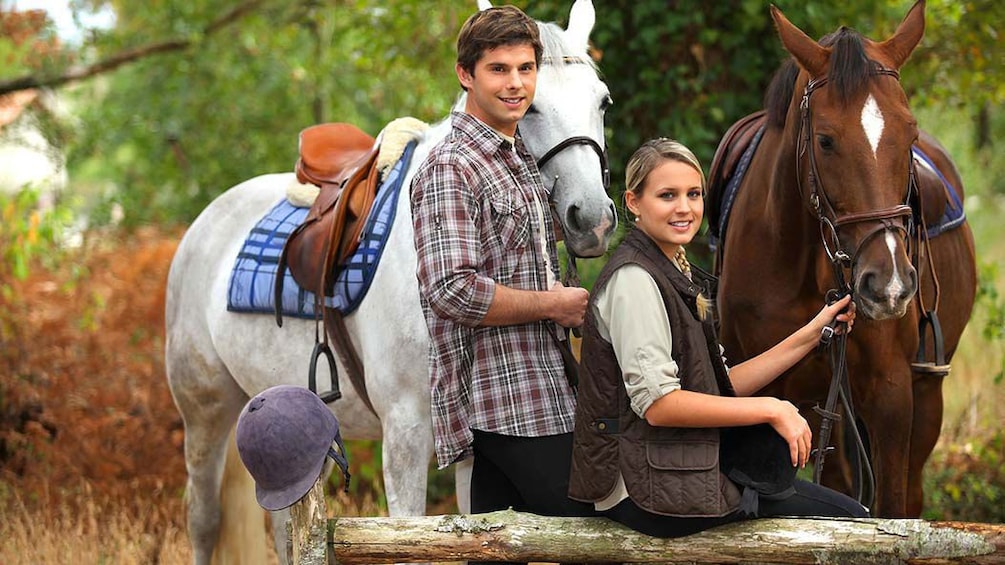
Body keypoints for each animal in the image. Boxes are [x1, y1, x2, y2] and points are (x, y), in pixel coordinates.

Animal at [164, 2, 611, 558]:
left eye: (602, 102)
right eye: (529, 107)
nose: (592, 218)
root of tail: (204, 225)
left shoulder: (471, 445)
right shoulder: (406, 432)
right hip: (204, 412)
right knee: (204, 521)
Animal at [707, 0, 972, 518]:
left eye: (909, 133)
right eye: (825, 140)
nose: (888, 285)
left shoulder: (892, 396)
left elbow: (890, 508)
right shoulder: (766, 391)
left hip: (924, 396)